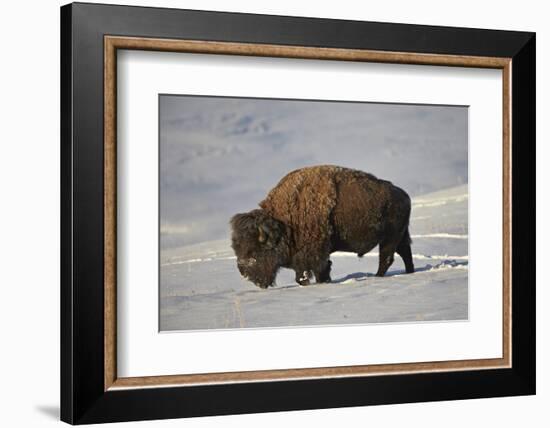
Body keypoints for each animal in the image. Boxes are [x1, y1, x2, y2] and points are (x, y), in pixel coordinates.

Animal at [231, 166, 416, 290]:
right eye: (236, 247)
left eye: (254, 250)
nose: (243, 271)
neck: (284, 223)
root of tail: (404, 196)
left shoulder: (314, 255)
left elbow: (315, 271)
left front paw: (322, 282)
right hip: (400, 236)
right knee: (405, 253)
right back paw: (409, 273)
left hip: (389, 238)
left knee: (386, 258)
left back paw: (378, 277)